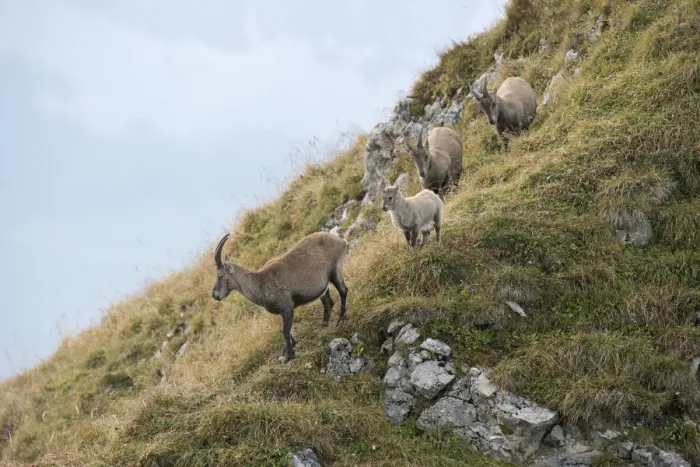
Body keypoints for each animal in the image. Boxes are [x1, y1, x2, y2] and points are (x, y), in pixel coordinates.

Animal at [211, 231, 349, 362]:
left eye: (220, 276)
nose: (214, 295)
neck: (260, 283)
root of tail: (341, 240)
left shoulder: (287, 308)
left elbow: (286, 332)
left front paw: (289, 356)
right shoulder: (284, 312)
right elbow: (289, 332)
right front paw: (286, 352)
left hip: (335, 271)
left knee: (343, 291)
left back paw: (341, 321)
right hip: (324, 286)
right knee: (328, 302)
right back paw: (324, 326)